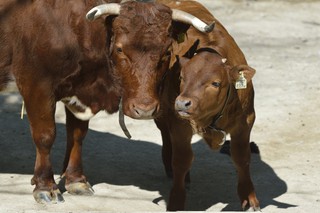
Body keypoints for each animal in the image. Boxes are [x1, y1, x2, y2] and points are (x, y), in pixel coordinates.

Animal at [0, 0, 212, 205]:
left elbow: (77, 135)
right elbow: (45, 136)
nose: (144, 109)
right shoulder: (36, 84)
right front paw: (45, 186)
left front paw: (76, 180)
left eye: (167, 52)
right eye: (119, 49)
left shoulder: (79, 92)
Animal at [154, 0, 262, 211]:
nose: (182, 103)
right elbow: (182, 160)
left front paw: (249, 197)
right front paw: (176, 201)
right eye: (181, 77)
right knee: (165, 133)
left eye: (216, 83)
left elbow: (242, 158)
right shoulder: (179, 125)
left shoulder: (245, 122)